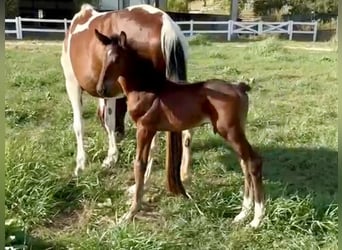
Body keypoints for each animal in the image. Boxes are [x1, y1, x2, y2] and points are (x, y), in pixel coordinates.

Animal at [60, 3, 192, 191]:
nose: (121, 133)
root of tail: (165, 22)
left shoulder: (72, 84)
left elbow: (79, 125)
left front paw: (80, 165)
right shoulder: (109, 92)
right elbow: (109, 120)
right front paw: (111, 158)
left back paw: (142, 184)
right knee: (185, 132)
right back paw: (183, 175)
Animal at [95, 29, 266, 229]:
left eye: (116, 59)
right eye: (103, 58)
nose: (100, 89)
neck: (148, 88)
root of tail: (240, 87)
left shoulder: (144, 129)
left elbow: (139, 164)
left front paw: (130, 213)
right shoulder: (153, 130)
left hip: (230, 131)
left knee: (253, 161)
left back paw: (256, 219)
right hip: (236, 131)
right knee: (244, 163)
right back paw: (243, 214)